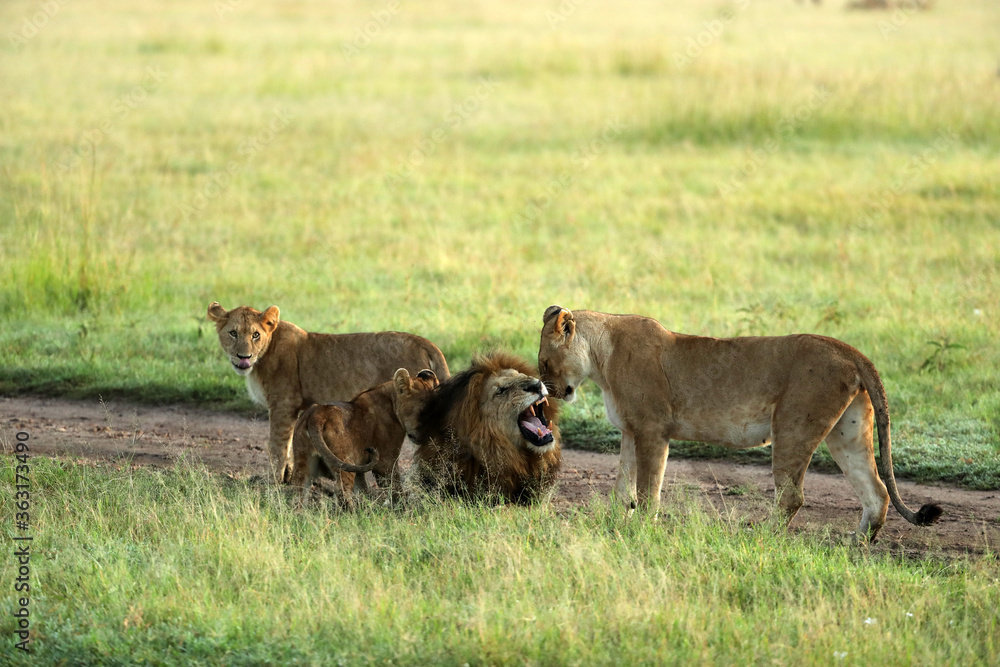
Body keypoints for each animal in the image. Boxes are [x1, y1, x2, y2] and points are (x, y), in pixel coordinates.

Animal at [207, 302, 450, 486]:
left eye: (255, 335)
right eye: (233, 333)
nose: (243, 357)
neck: (264, 355)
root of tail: (426, 343)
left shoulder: (283, 404)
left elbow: (277, 446)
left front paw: (273, 483)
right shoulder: (294, 408)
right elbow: (288, 447)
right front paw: (287, 478)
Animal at [292, 368, 442, 504]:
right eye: (423, 413)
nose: (426, 436)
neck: (391, 399)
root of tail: (316, 415)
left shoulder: (360, 465)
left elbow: (362, 488)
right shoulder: (385, 460)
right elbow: (395, 486)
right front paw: (402, 508)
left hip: (302, 464)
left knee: (298, 496)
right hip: (344, 461)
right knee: (342, 493)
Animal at [536, 308, 940, 544]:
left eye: (543, 362)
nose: (545, 391)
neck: (601, 359)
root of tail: (850, 350)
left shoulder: (652, 430)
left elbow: (648, 489)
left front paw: (641, 529)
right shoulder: (629, 432)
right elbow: (622, 487)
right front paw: (615, 524)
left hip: (793, 425)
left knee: (792, 496)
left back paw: (761, 537)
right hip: (848, 432)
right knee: (877, 492)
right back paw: (856, 543)